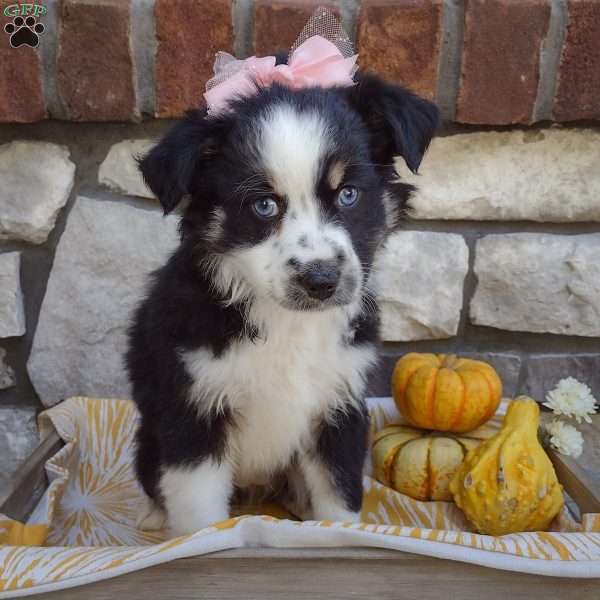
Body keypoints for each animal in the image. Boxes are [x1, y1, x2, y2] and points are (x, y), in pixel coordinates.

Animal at [125, 70, 436, 536]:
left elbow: (338, 496)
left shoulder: (339, 404)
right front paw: (193, 541)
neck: (287, 322)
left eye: (348, 194)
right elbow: (199, 517)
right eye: (264, 205)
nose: (321, 281)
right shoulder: (193, 411)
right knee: (151, 477)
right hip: (149, 434)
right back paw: (153, 515)